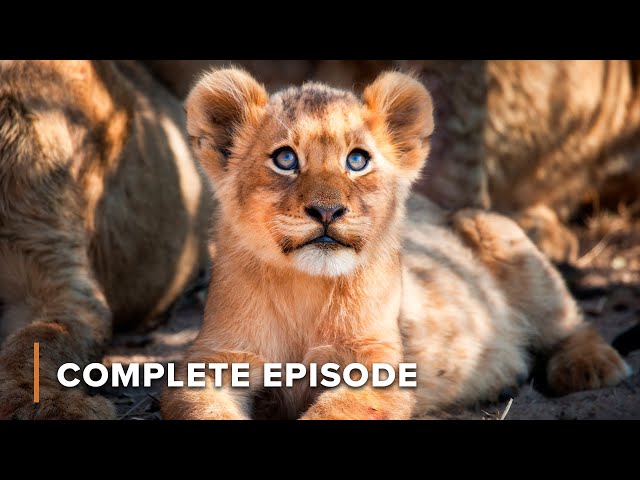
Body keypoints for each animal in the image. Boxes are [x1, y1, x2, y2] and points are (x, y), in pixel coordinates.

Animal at [160, 68, 631, 420]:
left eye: (357, 160)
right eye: (285, 159)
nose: (327, 211)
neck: (304, 289)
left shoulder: (379, 364)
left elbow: (336, 411)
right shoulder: (214, 358)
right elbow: (199, 407)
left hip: (496, 231)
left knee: (569, 321)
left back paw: (590, 366)